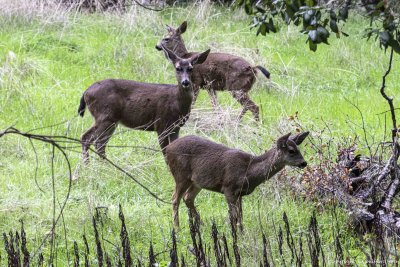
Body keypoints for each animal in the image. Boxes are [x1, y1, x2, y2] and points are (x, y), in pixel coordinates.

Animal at [76, 46, 211, 163]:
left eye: (191, 68)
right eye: (177, 68)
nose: (185, 82)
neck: (177, 103)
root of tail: (86, 92)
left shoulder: (175, 127)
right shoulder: (162, 124)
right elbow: (165, 151)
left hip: (107, 119)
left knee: (89, 138)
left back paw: (89, 166)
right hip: (105, 116)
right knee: (96, 141)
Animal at [165, 132, 310, 230]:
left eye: (298, 148)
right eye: (291, 151)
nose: (304, 163)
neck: (248, 171)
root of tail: (167, 148)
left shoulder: (239, 193)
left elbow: (240, 217)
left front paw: (242, 233)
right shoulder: (228, 189)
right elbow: (234, 217)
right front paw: (235, 236)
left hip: (196, 182)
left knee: (188, 198)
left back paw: (202, 225)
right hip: (180, 175)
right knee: (175, 198)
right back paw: (177, 228)